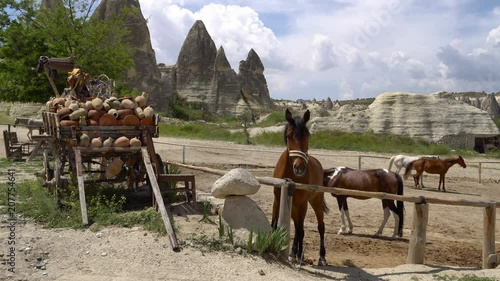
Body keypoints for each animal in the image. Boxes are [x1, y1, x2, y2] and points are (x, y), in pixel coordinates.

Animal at [270, 108, 328, 266]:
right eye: (289, 136)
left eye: (307, 135)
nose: (299, 167)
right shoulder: (277, 200)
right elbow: (274, 224)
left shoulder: (302, 204)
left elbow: (301, 230)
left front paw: (298, 256)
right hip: (295, 206)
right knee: (297, 227)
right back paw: (294, 253)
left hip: (315, 202)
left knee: (320, 227)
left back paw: (321, 257)